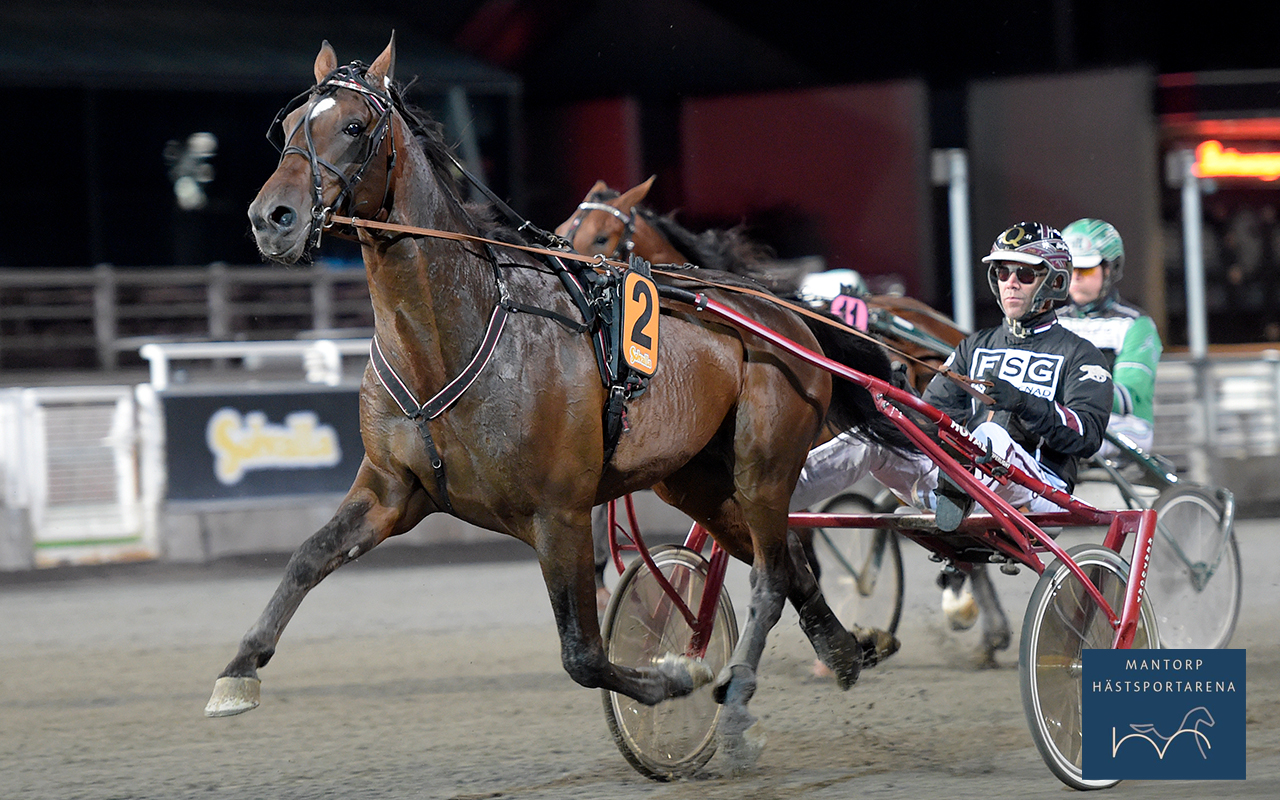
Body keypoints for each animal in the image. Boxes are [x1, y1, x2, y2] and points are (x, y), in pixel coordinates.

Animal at [204, 34, 906, 762]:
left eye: (352, 126)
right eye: (289, 126)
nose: (271, 218)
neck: (451, 337)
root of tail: (778, 312)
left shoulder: (558, 513)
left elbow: (584, 655)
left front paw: (677, 676)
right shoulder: (392, 488)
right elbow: (308, 557)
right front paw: (238, 670)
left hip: (763, 465)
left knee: (770, 575)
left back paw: (740, 697)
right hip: (698, 481)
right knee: (791, 560)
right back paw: (848, 648)